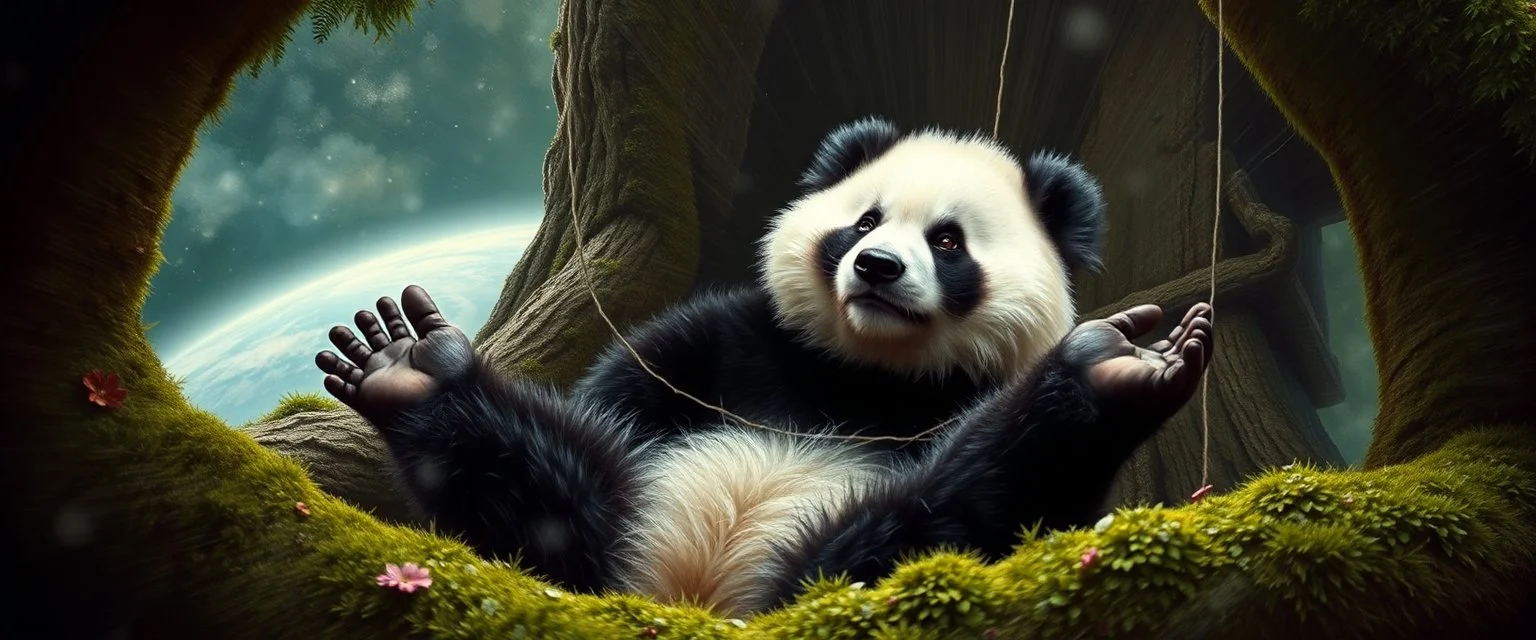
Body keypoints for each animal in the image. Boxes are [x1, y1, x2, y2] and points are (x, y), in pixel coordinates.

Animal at [313, 115, 1215, 617]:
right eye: (864, 222)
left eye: (948, 241)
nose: (877, 267)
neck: (860, 371)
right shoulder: (719, 340)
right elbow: (616, 400)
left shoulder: (963, 396)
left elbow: (1015, 514)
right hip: (624, 522)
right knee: (553, 495)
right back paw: (413, 368)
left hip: (841, 560)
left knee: (942, 510)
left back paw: (1108, 371)